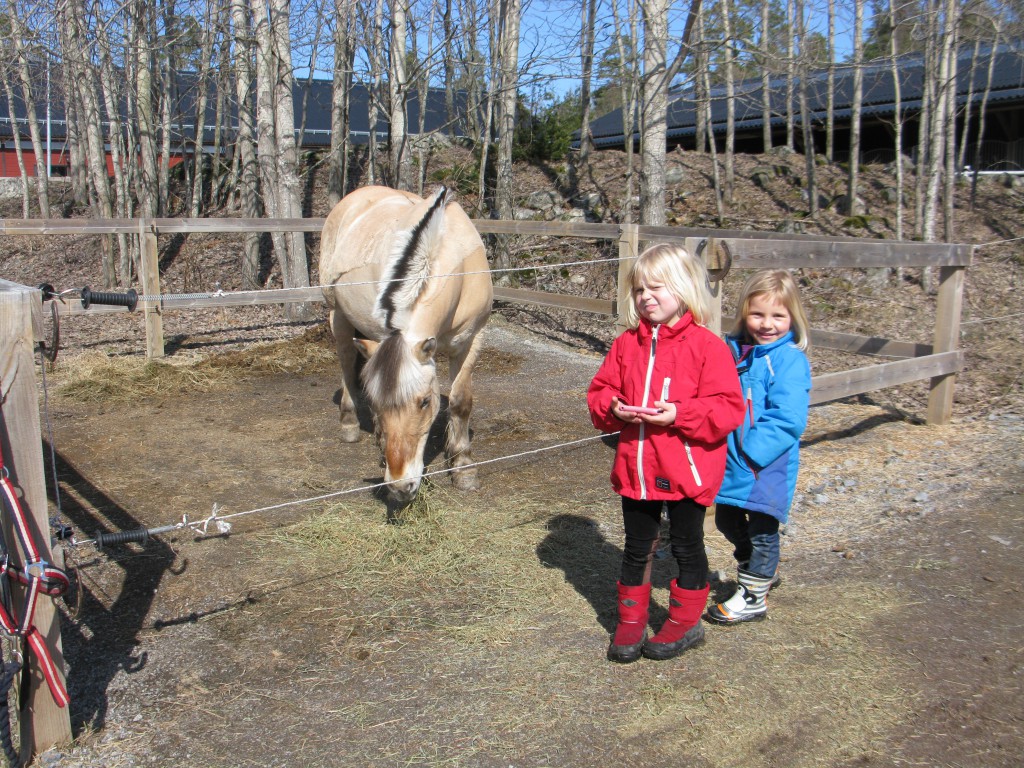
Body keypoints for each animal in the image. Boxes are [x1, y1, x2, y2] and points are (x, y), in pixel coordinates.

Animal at [321, 186, 493, 507]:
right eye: (374, 402)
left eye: (425, 402)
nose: (401, 486)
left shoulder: (472, 340)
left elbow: (460, 401)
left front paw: (464, 468)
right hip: (337, 312)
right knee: (346, 359)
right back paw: (350, 423)